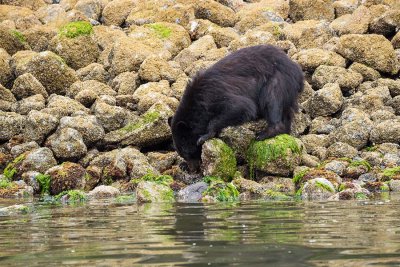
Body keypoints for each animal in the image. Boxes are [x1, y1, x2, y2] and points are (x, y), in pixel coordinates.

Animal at [169, 45, 304, 169]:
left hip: (277, 78)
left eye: (188, 152)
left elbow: (241, 107)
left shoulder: (215, 94)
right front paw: (183, 165)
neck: (198, 103)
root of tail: (296, 68)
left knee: (271, 99)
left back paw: (263, 134)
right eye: (182, 154)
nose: (193, 169)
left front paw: (205, 136)